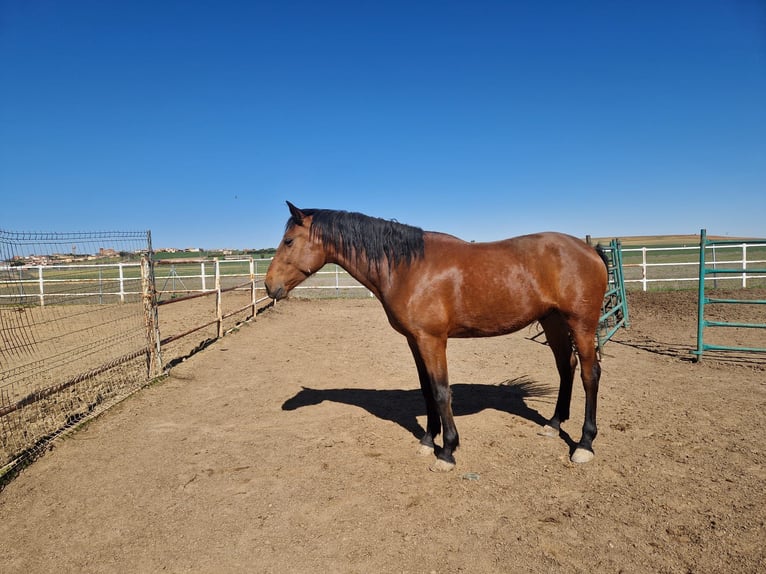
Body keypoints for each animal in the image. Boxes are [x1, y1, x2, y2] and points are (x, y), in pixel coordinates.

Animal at [265, 202, 608, 472]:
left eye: (289, 240)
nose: (270, 286)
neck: (408, 267)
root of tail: (588, 249)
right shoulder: (414, 340)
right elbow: (427, 389)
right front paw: (429, 440)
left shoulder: (433, 340)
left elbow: (442, 391)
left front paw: (447, 451)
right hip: (553, 321)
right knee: (566, 366)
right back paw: (554, 424)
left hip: (581, 324)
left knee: (589, 374)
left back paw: (584, 444)